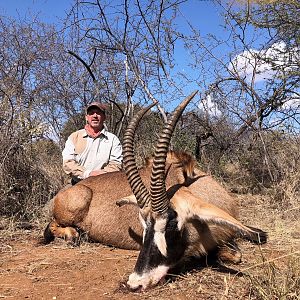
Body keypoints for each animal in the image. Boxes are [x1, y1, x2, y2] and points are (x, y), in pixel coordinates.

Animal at [43, 91, 266, 290]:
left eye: (171, 224)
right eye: (144, 226)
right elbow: (228, 253)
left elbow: (249, 242)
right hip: (77, 201)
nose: (136, 282)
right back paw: (73, 234)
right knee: (53, 224)